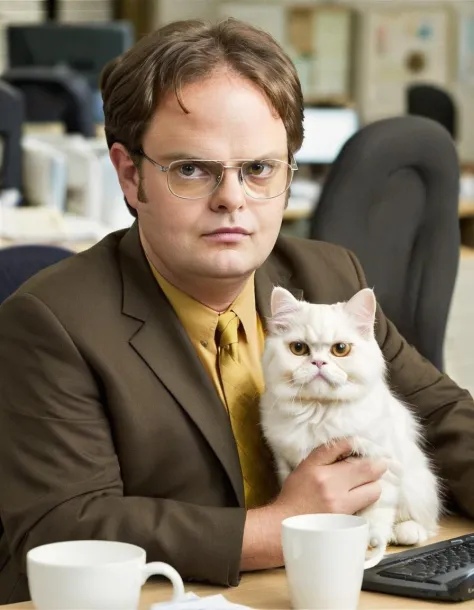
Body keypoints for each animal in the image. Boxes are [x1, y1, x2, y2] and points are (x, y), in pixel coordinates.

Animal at [262, 284, 438, 548]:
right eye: (299, 349)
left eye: (340, 349)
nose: (318, 362)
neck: (319, 411)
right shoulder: (285, 462)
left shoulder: (381, 463)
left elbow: (375, 511)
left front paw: (371, 542)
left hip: (417, 485)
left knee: (423, 522)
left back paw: (404, 533)